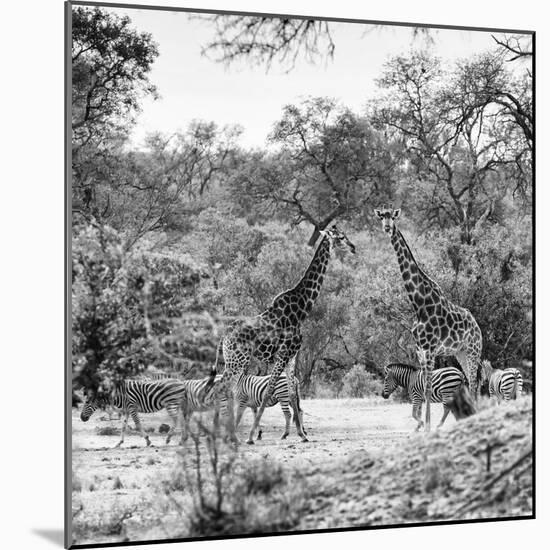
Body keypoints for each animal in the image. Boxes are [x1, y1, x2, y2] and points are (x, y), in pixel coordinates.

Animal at [207, 226, 358, 446]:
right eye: (341, 237)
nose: (353, 247)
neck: (302, 309)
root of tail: (224, 335)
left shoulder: (292, 356)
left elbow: (293, 394)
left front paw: (302, 435)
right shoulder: (282, 354)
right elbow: (269, 391)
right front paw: (251, 436)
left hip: (234, 361)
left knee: (224, 390)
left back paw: (225, 434)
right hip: (237, 361)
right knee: (219, 390)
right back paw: (227, 435)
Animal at [376, 205, 484, 434]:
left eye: (393, 217)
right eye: (381, 217)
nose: (387, 228)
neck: (419, 303)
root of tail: (476, 326)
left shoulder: (431, 348)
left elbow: (426, 387)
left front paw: (426, 426)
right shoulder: (420, 349)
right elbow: (423, 386)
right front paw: (425, 425)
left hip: (473, 350)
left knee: (474, 383)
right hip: (460, 352)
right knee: (471, 383)